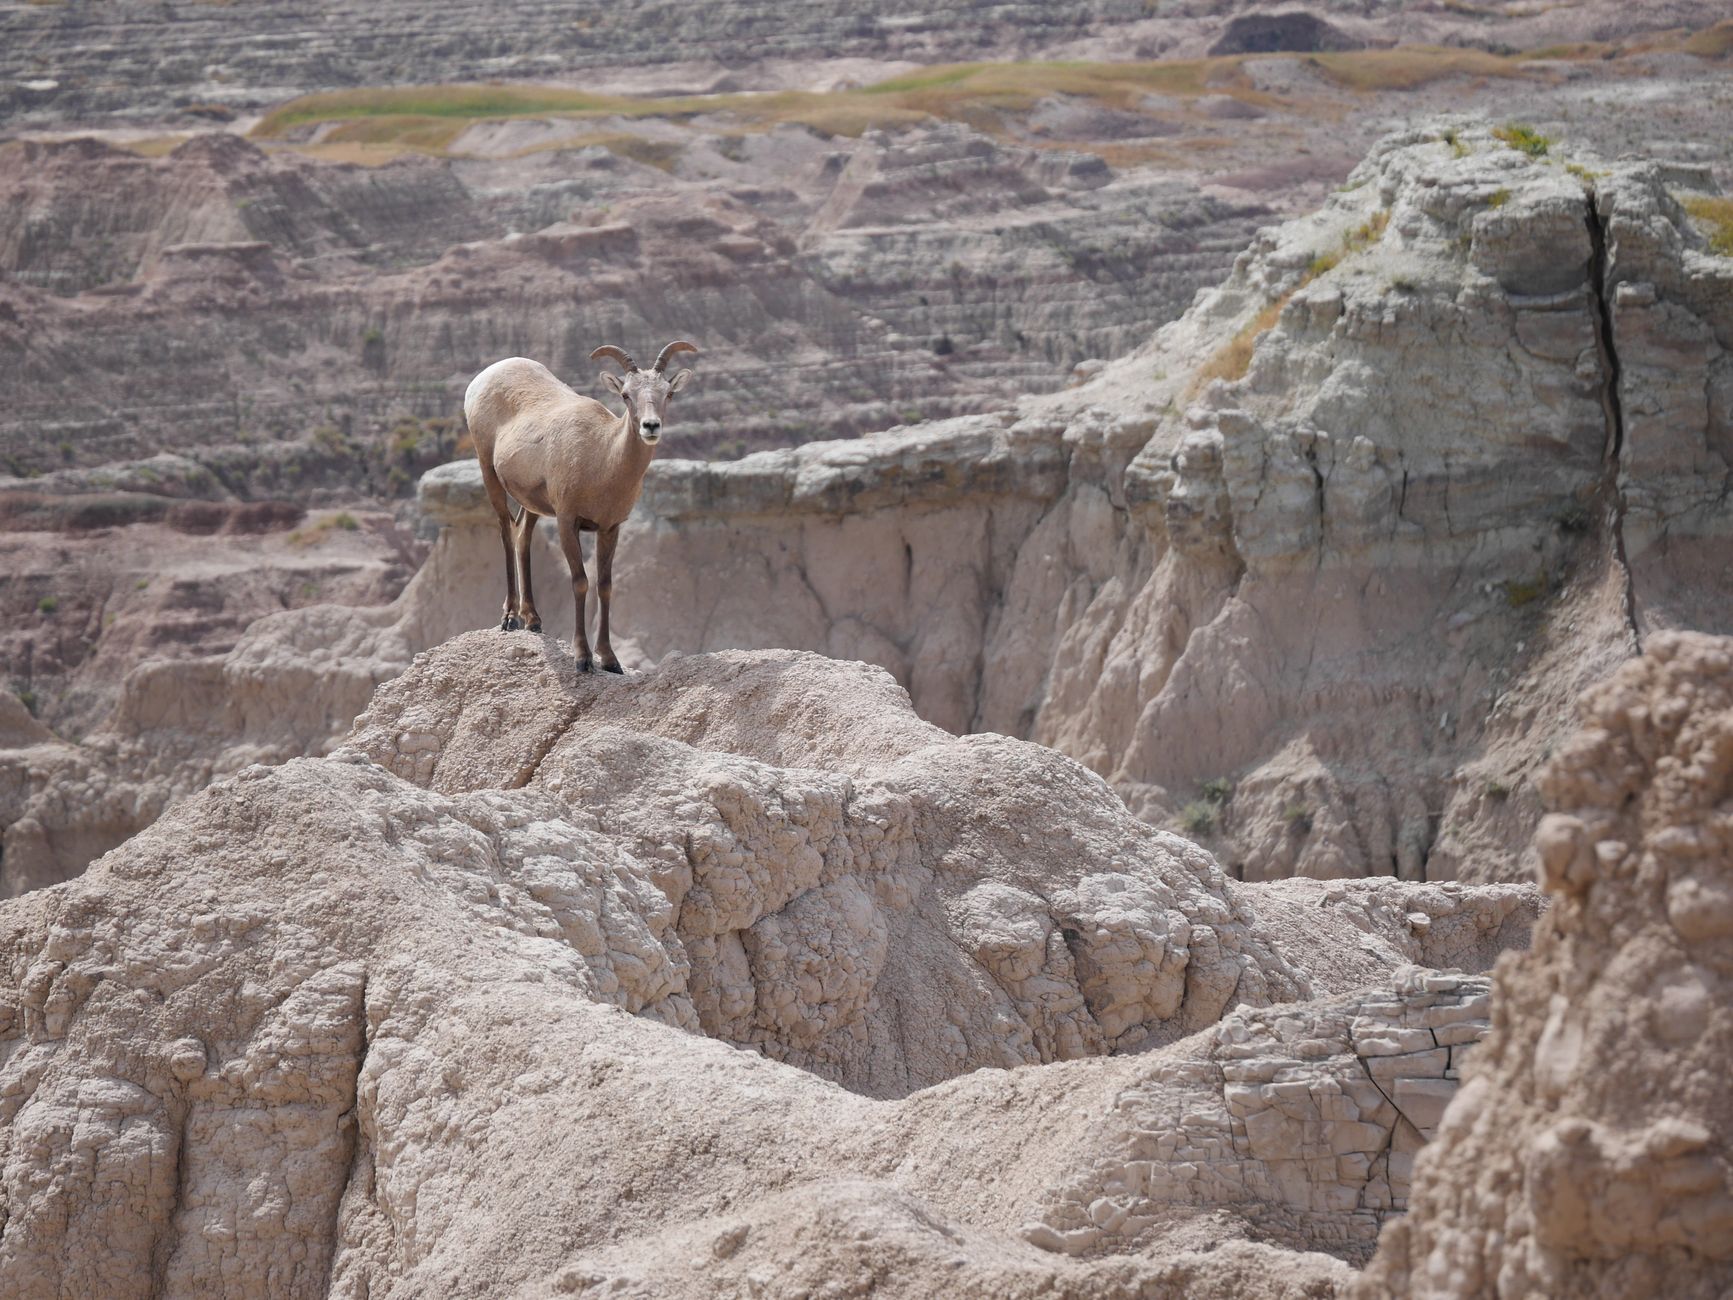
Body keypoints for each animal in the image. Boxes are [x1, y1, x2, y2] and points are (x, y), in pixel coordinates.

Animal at [462, 339, 697, 672]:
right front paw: (583, 658)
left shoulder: (610, 528)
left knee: (523, 536)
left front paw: (610, 660)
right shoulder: (567, 522)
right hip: (489, 473)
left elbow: (605, 586)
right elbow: (580, 582)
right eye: (626, 395)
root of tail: (486, 375)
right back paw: (510, 619)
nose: (650, 426)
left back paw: (533, 620)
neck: (601, 457)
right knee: (506, 533)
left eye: (669, 393)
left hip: (531, 503)